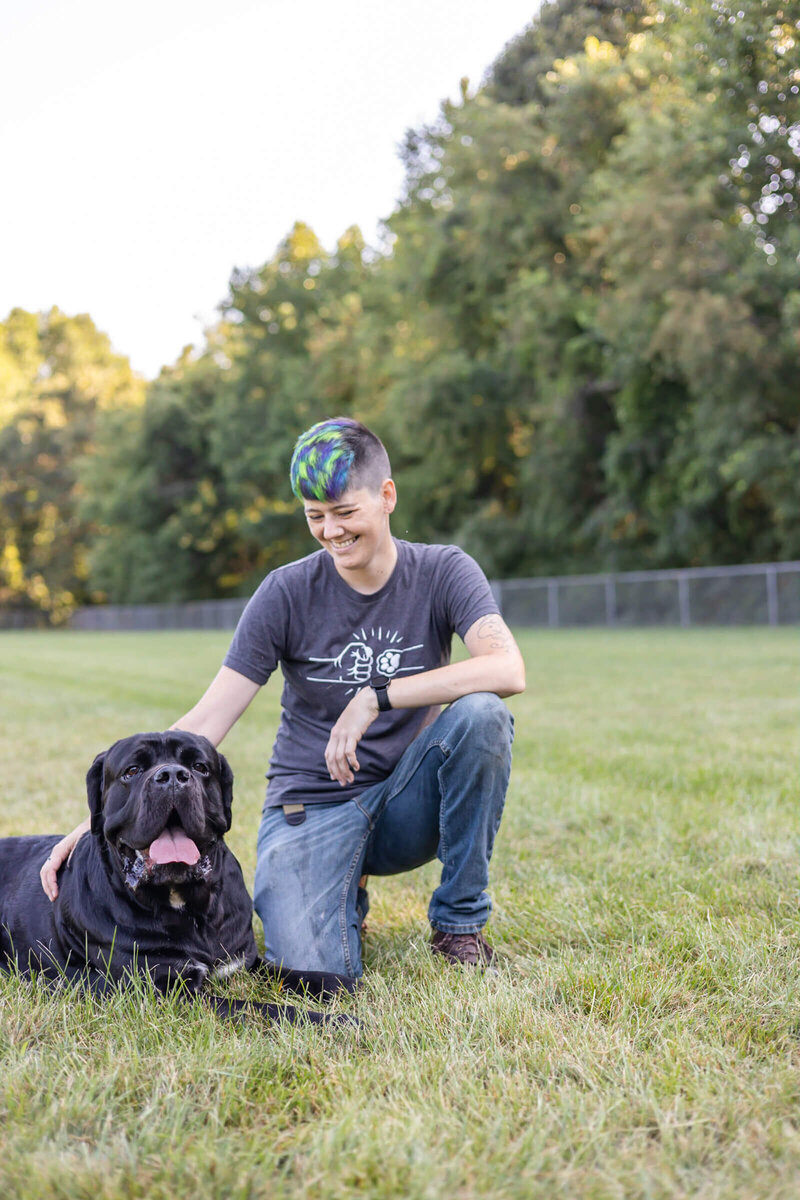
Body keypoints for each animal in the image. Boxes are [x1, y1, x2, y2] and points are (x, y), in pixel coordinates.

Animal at [0, 729, 352, 1022]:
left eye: (199, 767)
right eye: (132, 771)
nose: (171, 776)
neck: (188, 906)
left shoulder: (245, 959)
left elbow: (295, 975)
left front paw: (343, 984)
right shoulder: (169, 991)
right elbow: (262, 1009)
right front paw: (340, 1021)